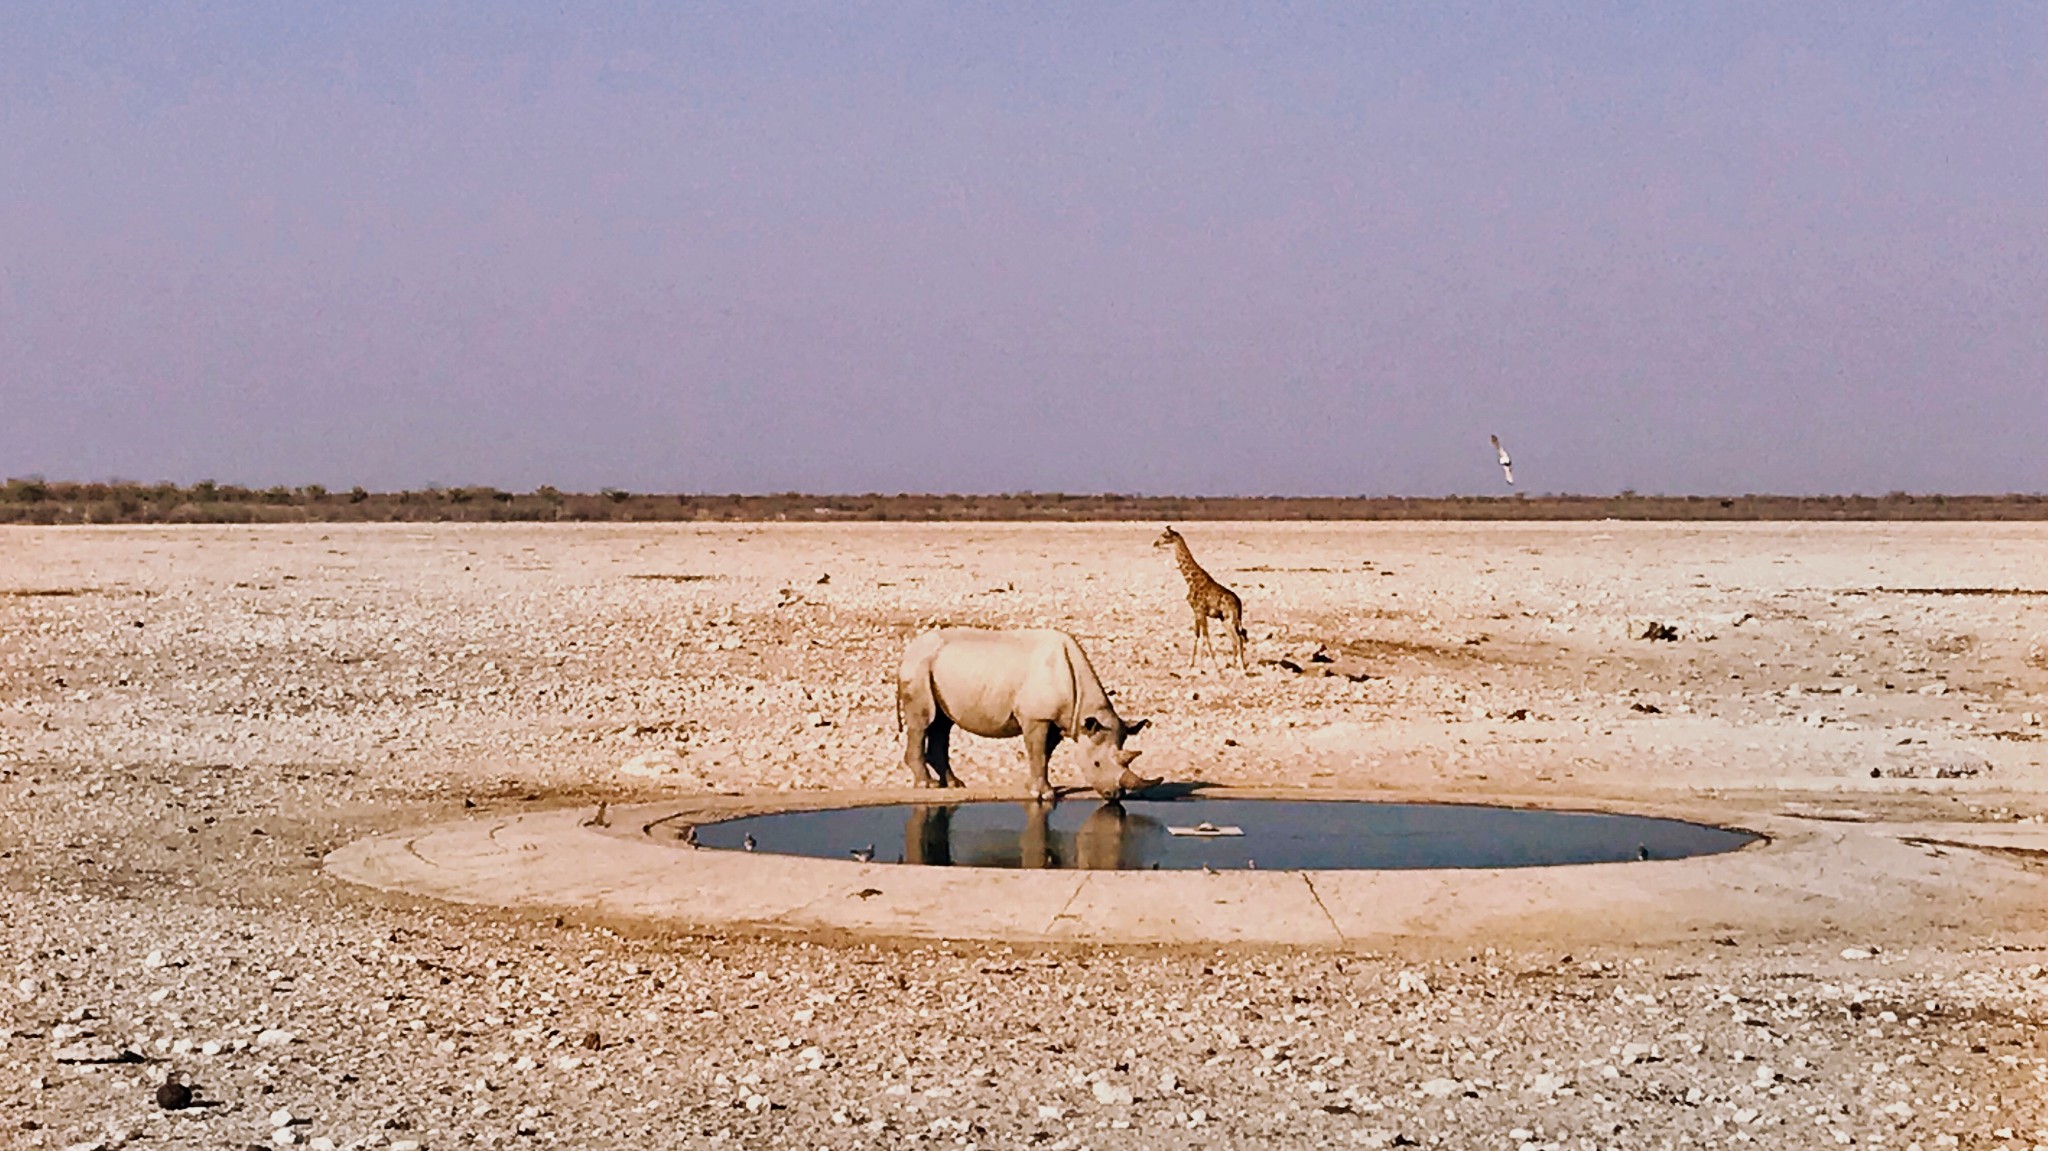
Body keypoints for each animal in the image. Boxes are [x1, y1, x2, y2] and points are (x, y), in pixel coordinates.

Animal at [1155, 524, 1245, 667]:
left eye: (1165, 535)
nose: (1155, 543)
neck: (1191, 581)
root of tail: (1239, 603)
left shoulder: (1200, 611)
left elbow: (1205, 636)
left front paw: (1211, 663)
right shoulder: (1196, 612)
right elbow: (1197, 635)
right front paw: (1192, 663)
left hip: (1229, 618)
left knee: (1237, 638)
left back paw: (1238, 666)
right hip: (1229, 619)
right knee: (1237, 638)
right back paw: (1238, 665)